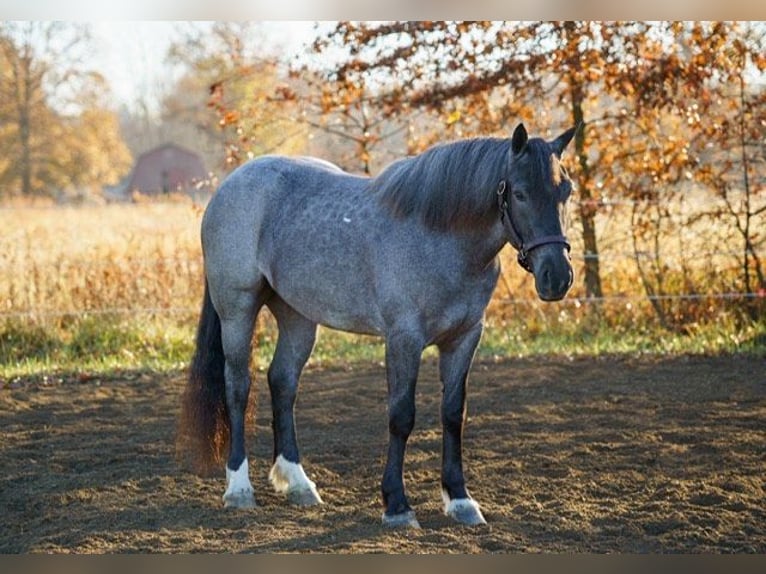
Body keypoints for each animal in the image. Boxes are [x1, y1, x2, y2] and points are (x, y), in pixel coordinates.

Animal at [177, 123, 577, 528]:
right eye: (520, 193)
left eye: (566, 191)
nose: (557, 277)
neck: (441, 237)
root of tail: (230, 185)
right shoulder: (403, 339)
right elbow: (401, 416)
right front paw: (397, 505)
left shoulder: (464, 339)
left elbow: (453, 415)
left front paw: (460, 501)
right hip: (237, 310)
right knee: (238, 387)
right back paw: (239, 489)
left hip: (297, 315)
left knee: (283, 383)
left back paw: (298, 484)